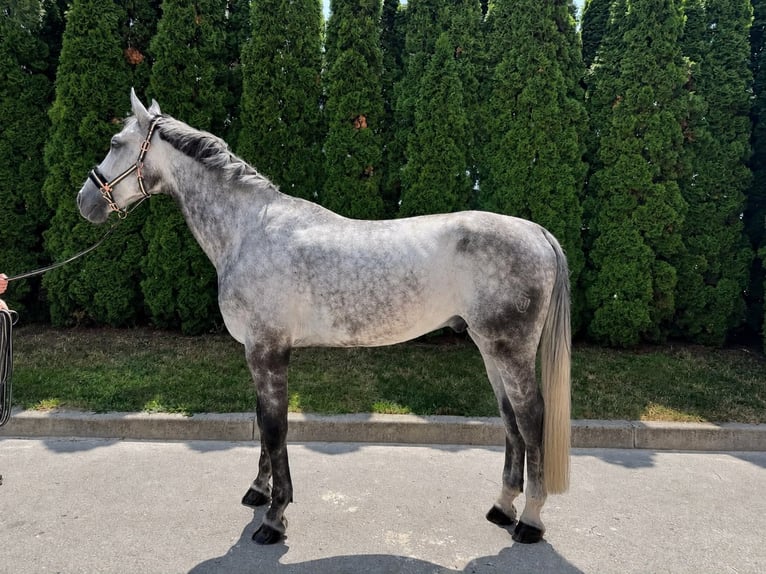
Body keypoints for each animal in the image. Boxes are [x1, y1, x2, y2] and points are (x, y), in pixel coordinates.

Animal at [77, 89, 572, 546]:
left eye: (116, 141)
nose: (86, 201)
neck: (247, 231)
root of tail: (536, 232)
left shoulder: (268, 350)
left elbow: (275, 428)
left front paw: (274, 519)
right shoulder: (258, 352)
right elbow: (263, 423)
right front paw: (259, 491)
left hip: (509, 350)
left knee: (531, 419)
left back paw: (529, 521)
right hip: (488, 348)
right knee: (509, 420)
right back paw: (502, 507)